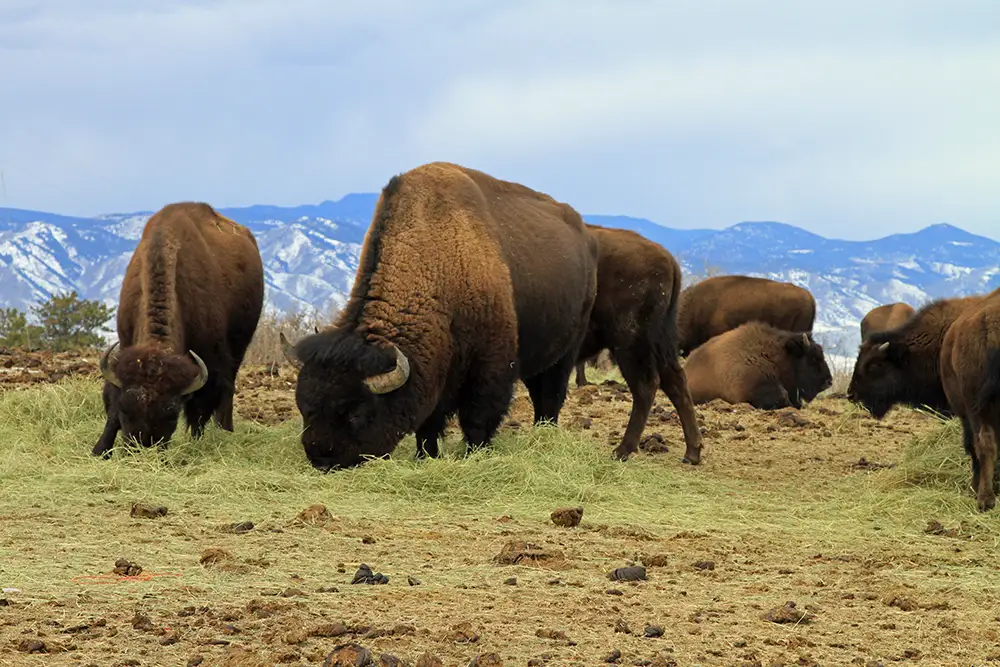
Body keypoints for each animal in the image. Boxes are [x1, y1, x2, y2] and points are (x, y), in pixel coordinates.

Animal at [93, 202, 265, 456]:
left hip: (239, 347)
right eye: (126, 409)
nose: (144, 448)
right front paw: (100, 449)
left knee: (227, 391)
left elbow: (200, 410)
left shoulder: (211, 362)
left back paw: (226, 430)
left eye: (172, 415)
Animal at [282, 162, 598, 470]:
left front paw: (475, 453)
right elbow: (429, 422)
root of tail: (584, 235)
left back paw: (545, 434)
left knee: (551, 394)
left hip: (567, 350)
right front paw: (426, 455)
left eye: (356, 413)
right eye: (303, 407)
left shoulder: (490, 367)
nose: (321, 460)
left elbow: (478, 417)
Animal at [573, 224, 703, 463]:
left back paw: (623, 450)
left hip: (631, 343)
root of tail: (668, 259)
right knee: (675, 381)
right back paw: (692, 452)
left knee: (646, 386)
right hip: (658, 343)